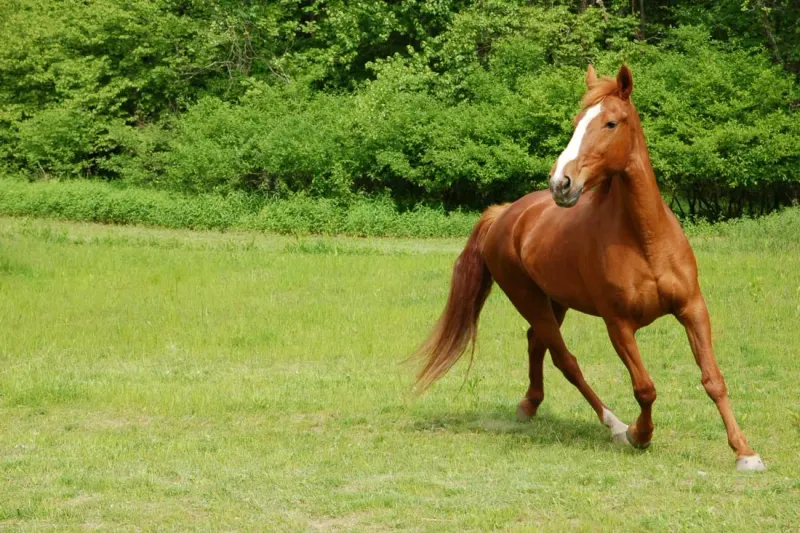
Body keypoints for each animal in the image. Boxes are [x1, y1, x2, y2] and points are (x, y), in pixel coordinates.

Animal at [410, 65, 764, 470]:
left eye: (610, 123)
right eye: (576, 122)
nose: (561, 183)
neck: (645, 240)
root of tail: (505, 214)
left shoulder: (692, 308)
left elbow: (713, 379)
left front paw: (745, 452)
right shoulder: (618, 325)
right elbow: (645, 387)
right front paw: (640, 435)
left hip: (555, 301)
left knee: (536, 343)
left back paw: (530, 405)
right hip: (528, 299)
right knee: (565, 360)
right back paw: (614, 424)